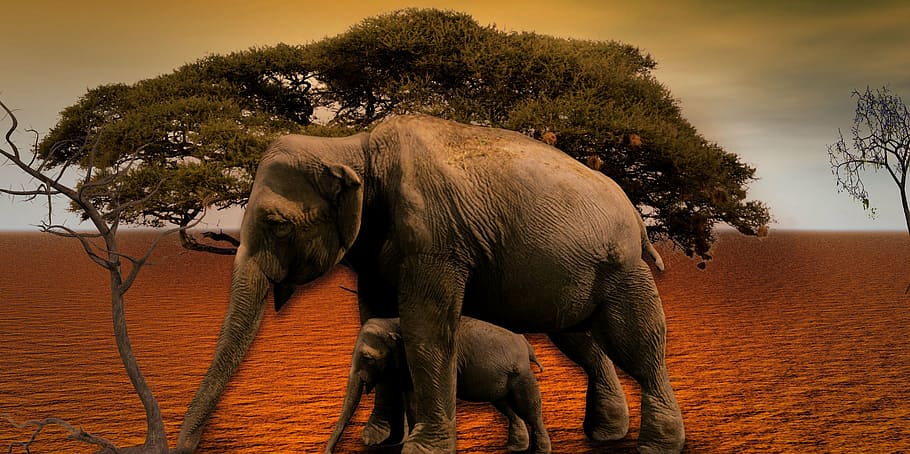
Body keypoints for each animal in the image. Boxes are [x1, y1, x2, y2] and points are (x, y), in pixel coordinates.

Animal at [325, 316, 550, 453]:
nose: (329, 452)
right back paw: (514, 448)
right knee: (506, 405)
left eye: (368, 358)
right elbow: (410, 400)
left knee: (530, 408)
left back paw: (539, 451)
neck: (393, 320)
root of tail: (527, 344)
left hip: (522, 373)